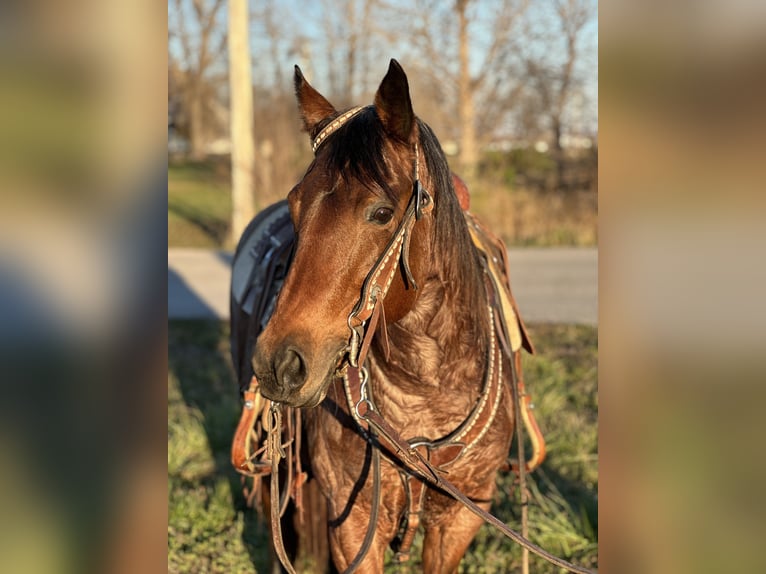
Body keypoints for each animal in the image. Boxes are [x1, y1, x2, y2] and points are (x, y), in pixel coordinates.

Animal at [234, 60, 540, 572]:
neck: (424, 390)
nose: (279, 364)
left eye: (380, 212)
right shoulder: (354, 521)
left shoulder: (461, 518)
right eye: (296, 204)